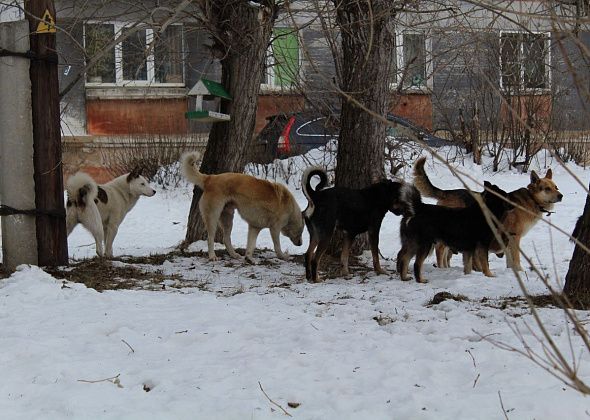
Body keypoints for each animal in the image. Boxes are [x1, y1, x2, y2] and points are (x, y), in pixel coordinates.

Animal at [414, 156, 568, 270]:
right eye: (547, 189)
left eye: (556, 187)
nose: (561, 196)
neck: (531, 199)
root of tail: (446, 193)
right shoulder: (514, 237)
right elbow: (516, 259)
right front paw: (519, 271)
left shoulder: (506, 239)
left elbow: (509, 260)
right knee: (440, 250)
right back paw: (442, 268)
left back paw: (447, 267)